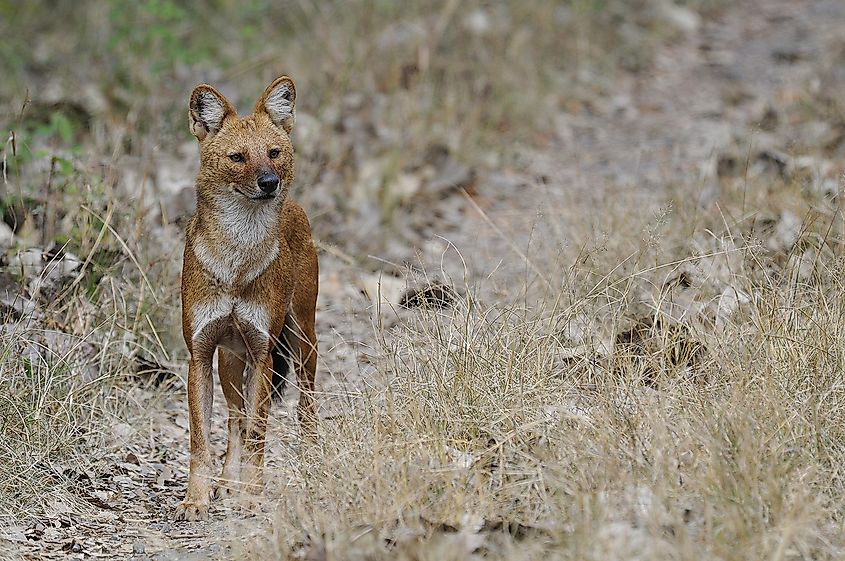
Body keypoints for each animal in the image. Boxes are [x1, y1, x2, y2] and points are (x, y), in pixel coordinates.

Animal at [174, 75, 316, 520]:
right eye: (237, 157)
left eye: (273, 153)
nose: (269, 182)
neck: (237, 260)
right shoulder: (201, 355)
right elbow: (202, 439)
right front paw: (196, 499)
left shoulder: (262, 352)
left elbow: (258, 431)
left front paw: (252, 496)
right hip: (230, 362)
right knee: (234, 420)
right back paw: (226, 483)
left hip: (302, 339)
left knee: (306, 404)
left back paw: (313, 457)